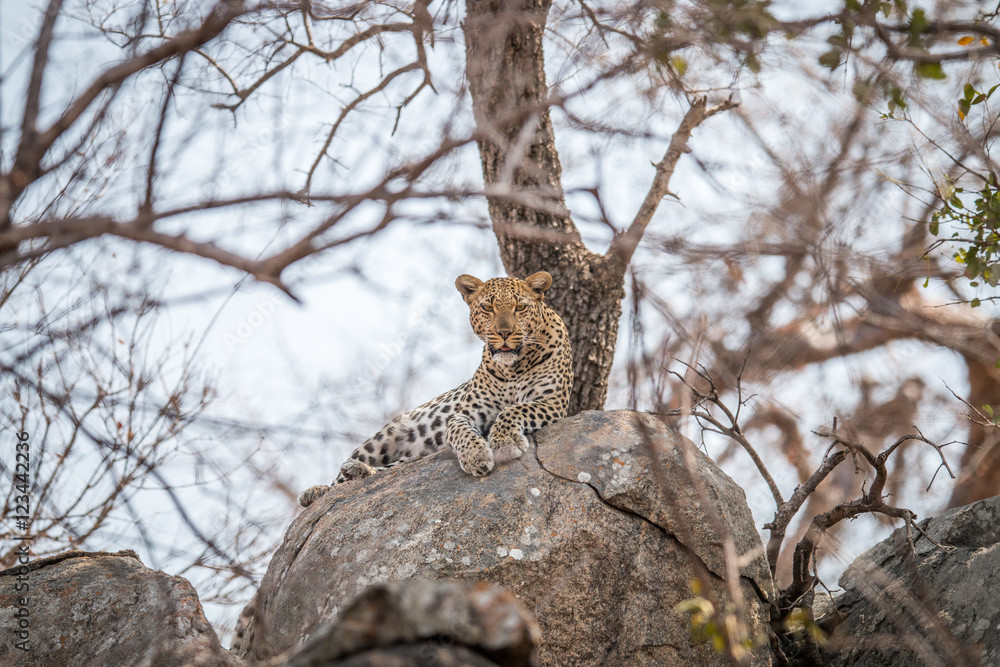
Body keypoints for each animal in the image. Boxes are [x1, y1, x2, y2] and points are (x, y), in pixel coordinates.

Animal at [297, 270, 573, 508]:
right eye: (488, 307)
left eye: (520, 308)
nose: (504, 332)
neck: (512, 367)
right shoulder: (466, 413)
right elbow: (459, 430)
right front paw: (476, 456)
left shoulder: (553, 403)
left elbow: (514, 410)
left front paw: (504, 442)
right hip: (380, 439)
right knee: (340, 481)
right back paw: (320, 489)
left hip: (407, 457)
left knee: (390, 469)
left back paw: (356, 472)